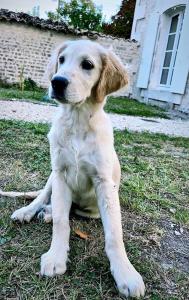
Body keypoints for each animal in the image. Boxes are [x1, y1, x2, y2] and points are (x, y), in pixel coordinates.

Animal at [9, 39, 145, 298]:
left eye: (88, 65)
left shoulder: (104, 183)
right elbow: (62, 222)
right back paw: (31, 212)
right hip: (51, 177)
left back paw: (48, 213)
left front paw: (125, 273)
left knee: (72, 210)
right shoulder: (60, 174)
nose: (57, 81)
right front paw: (56, 257)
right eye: (61, 60)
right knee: (44, 198)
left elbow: (114, 234)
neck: (77, 121)